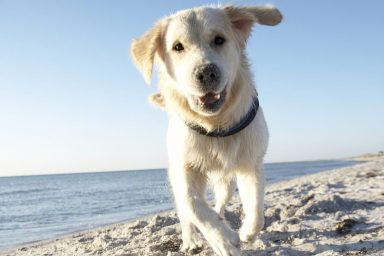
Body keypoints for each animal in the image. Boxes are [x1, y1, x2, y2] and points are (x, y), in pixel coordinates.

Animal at [131, 5, 282, 255]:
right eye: (178, 47)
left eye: (219, 39)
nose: (206, 73)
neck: (215, 125)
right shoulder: (183, 170)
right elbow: (194, 206)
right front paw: (223, 241)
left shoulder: (251, 163)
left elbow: (256, 210)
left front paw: (245, 233)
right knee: (187, 214)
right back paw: (191, 241)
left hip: (226, 182)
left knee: (219, 203)